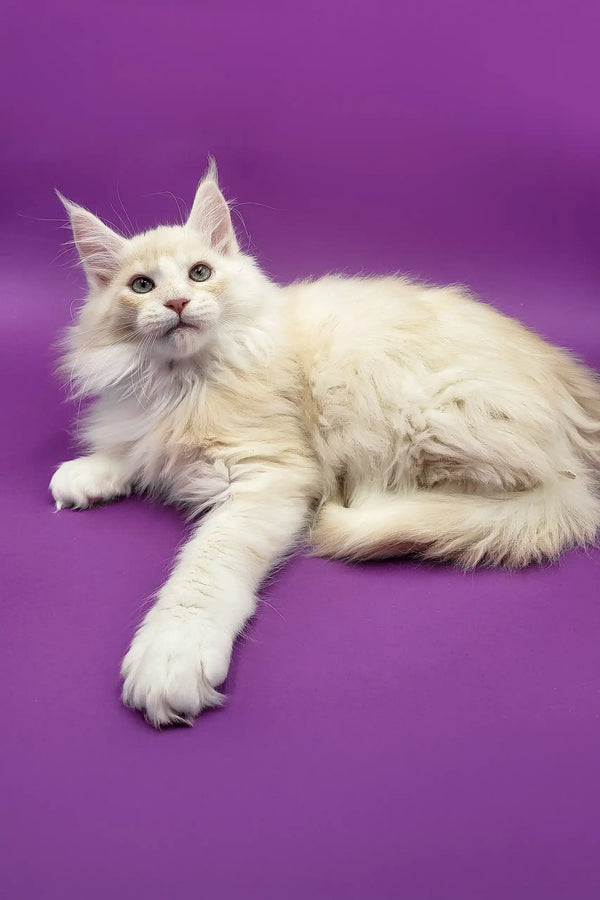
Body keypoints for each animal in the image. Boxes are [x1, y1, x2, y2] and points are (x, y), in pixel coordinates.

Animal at [50, 162, 600, 728]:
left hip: (416, 409)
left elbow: (205, 567)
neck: (183, 385)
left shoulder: (267, 474)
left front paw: (170, 654)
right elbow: (131, 451)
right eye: (141, 286)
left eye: (199, 274)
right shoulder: (146, 424)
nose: (176, 303)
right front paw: (89, 472)